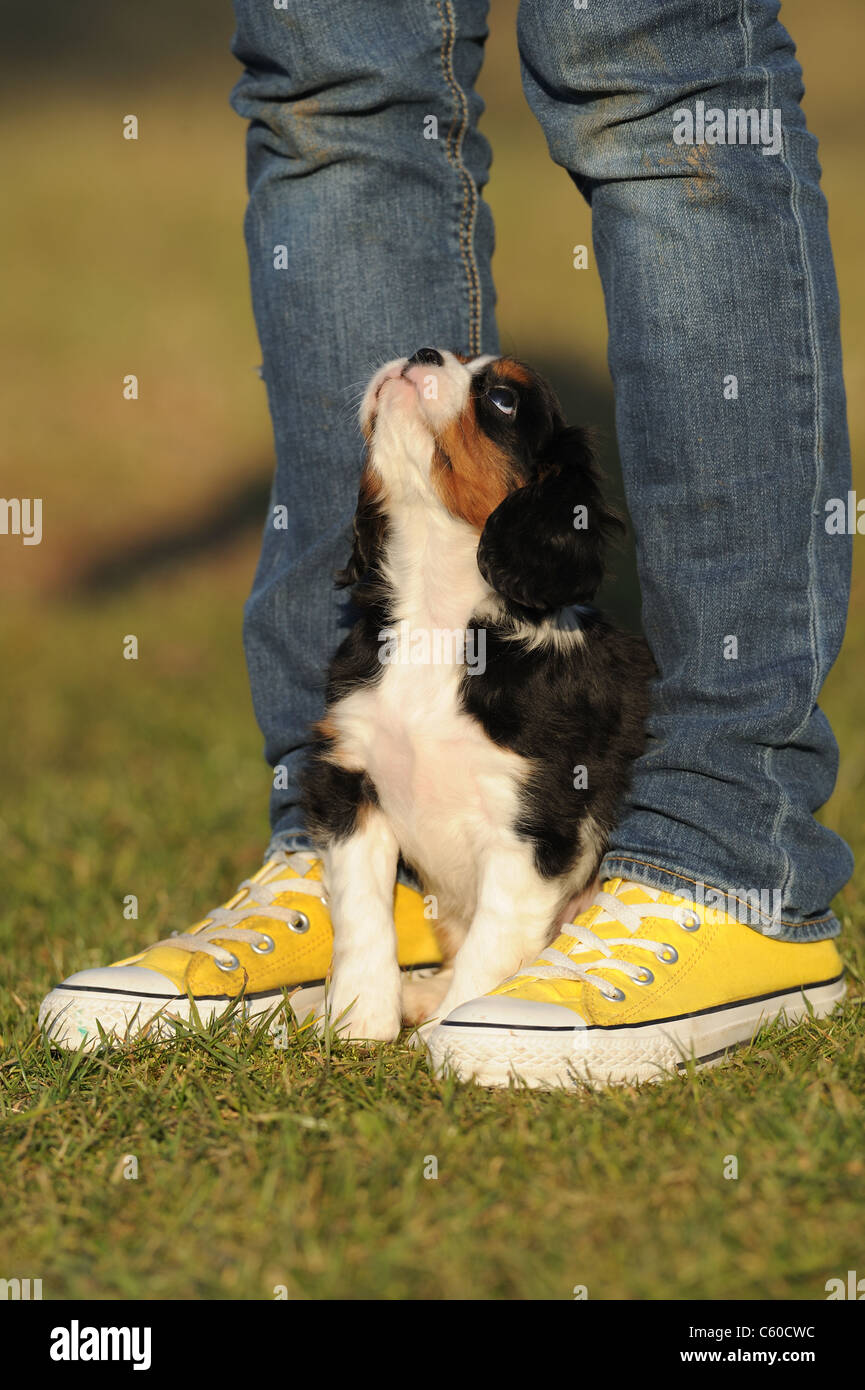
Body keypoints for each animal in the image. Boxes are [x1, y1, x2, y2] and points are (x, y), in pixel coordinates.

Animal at [301, 350, 653, 1034]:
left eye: (502, 400)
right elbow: (363, 918)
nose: (421, 353)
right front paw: (359, 1023)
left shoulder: (533, 827)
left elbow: (492, 946)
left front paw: (456, 1029)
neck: (436, 612)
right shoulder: (352, 783)